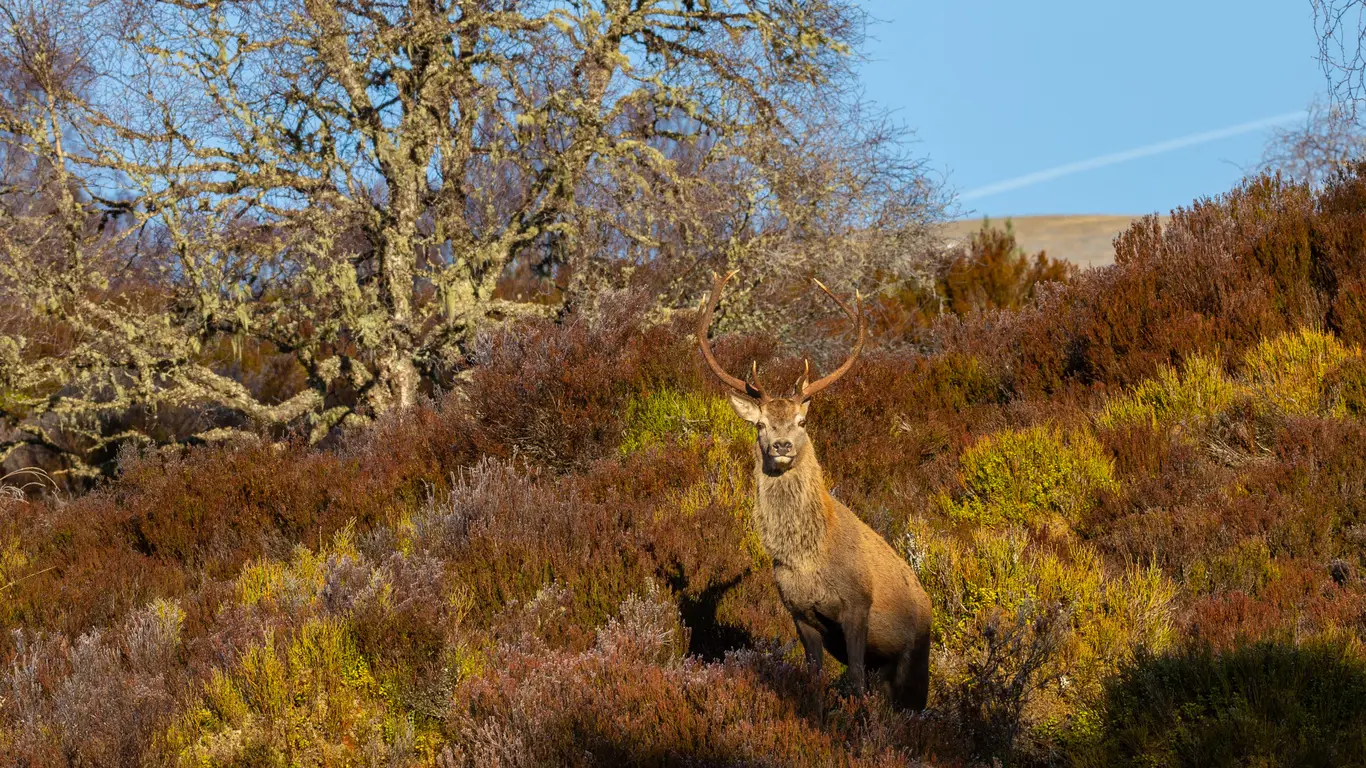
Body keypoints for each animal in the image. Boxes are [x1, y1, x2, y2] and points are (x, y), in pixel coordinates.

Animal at [697, 271, 933, 711]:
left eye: (802, 421)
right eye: (760, 425)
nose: (781, 445)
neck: (808, 558)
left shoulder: (858, 604)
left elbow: (853, 678)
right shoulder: (799, 612)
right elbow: (812, 674)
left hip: (917, 658)